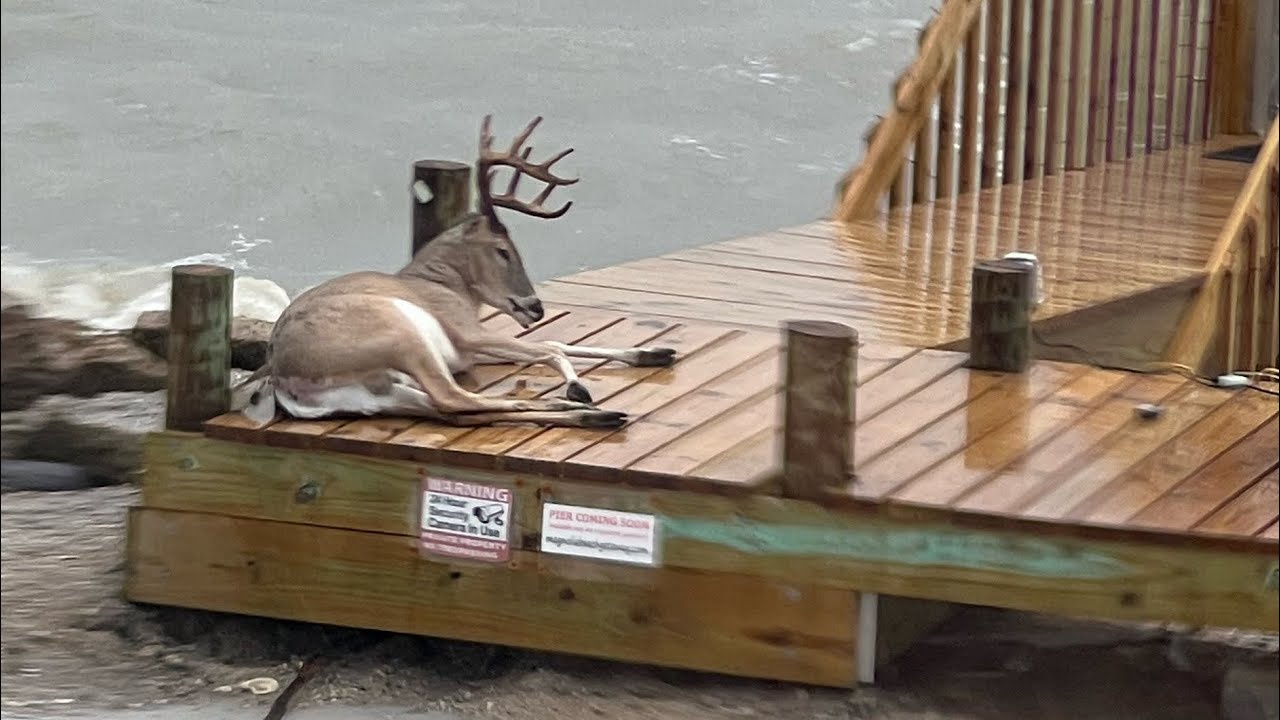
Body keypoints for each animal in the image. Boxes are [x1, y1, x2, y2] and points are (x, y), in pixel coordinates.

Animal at [233, 115, 676, 430]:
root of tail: (280, 374)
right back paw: (579, 404)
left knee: (458, 410)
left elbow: (556, 343)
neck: (441, 284)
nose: (536, 307)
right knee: (456, 400)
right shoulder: (465, 334)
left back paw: (598, 415)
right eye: (503, 250)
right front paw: (579, 385)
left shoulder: (470, 348)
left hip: (391, 391)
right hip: (401, 336)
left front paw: (654, 352)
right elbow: (550, 348)